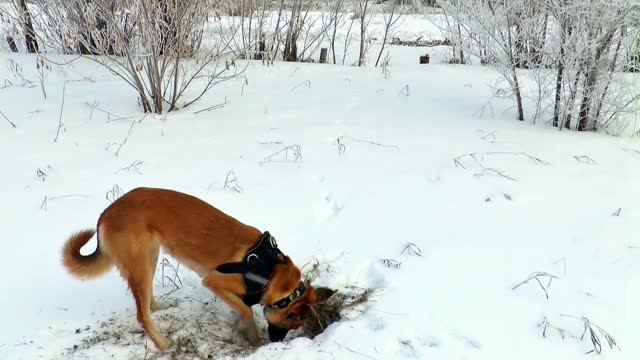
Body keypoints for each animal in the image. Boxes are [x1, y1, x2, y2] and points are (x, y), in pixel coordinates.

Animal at [61, 187, 336, 350]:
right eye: (290, 326)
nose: (275, 342)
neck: (271, 272)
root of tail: (106, 213)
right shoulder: (214, 282)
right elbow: (246, 311)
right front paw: (254, 341)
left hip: (150, 257)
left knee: (146, 300)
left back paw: (159, 307)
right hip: (141, 263)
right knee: (142, 315)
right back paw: (163, 344)